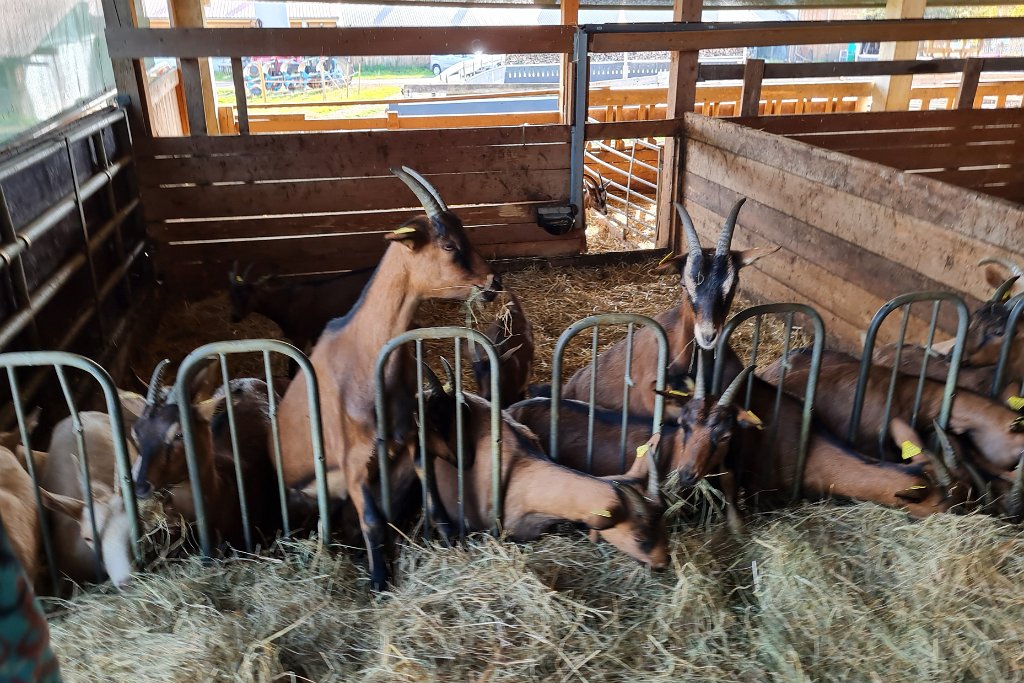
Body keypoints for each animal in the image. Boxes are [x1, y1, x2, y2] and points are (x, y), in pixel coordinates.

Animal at [228, 263, 375, 353]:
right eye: (231, 295)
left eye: (248, 295)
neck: (287, 302)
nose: (235, 317)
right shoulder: (315, 333)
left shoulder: (300, 337)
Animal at [276, 166, 501, 589]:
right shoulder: (353, 467)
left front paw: (451, 544)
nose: (493, 283)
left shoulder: (411, 437)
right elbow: (372, 521)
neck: (365, 359)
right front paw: (379, 581)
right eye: (448, 245)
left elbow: (433, 499)